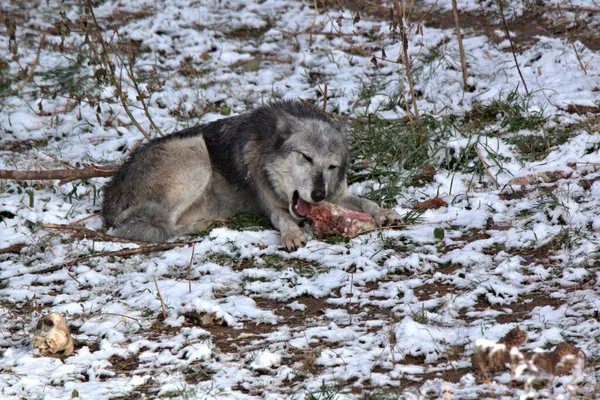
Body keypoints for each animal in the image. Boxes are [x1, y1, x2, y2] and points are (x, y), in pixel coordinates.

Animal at [103, 100, 404, 248]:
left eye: (331, 167)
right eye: (306, 157)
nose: (319, 195)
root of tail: (110, 194)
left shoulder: (338, 194)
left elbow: (366, 202)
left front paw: (385, 213)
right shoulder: (271, 207)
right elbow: (284, 219)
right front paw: (291, 235)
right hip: (196, 152)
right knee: (156, 228)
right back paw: (210, 223)